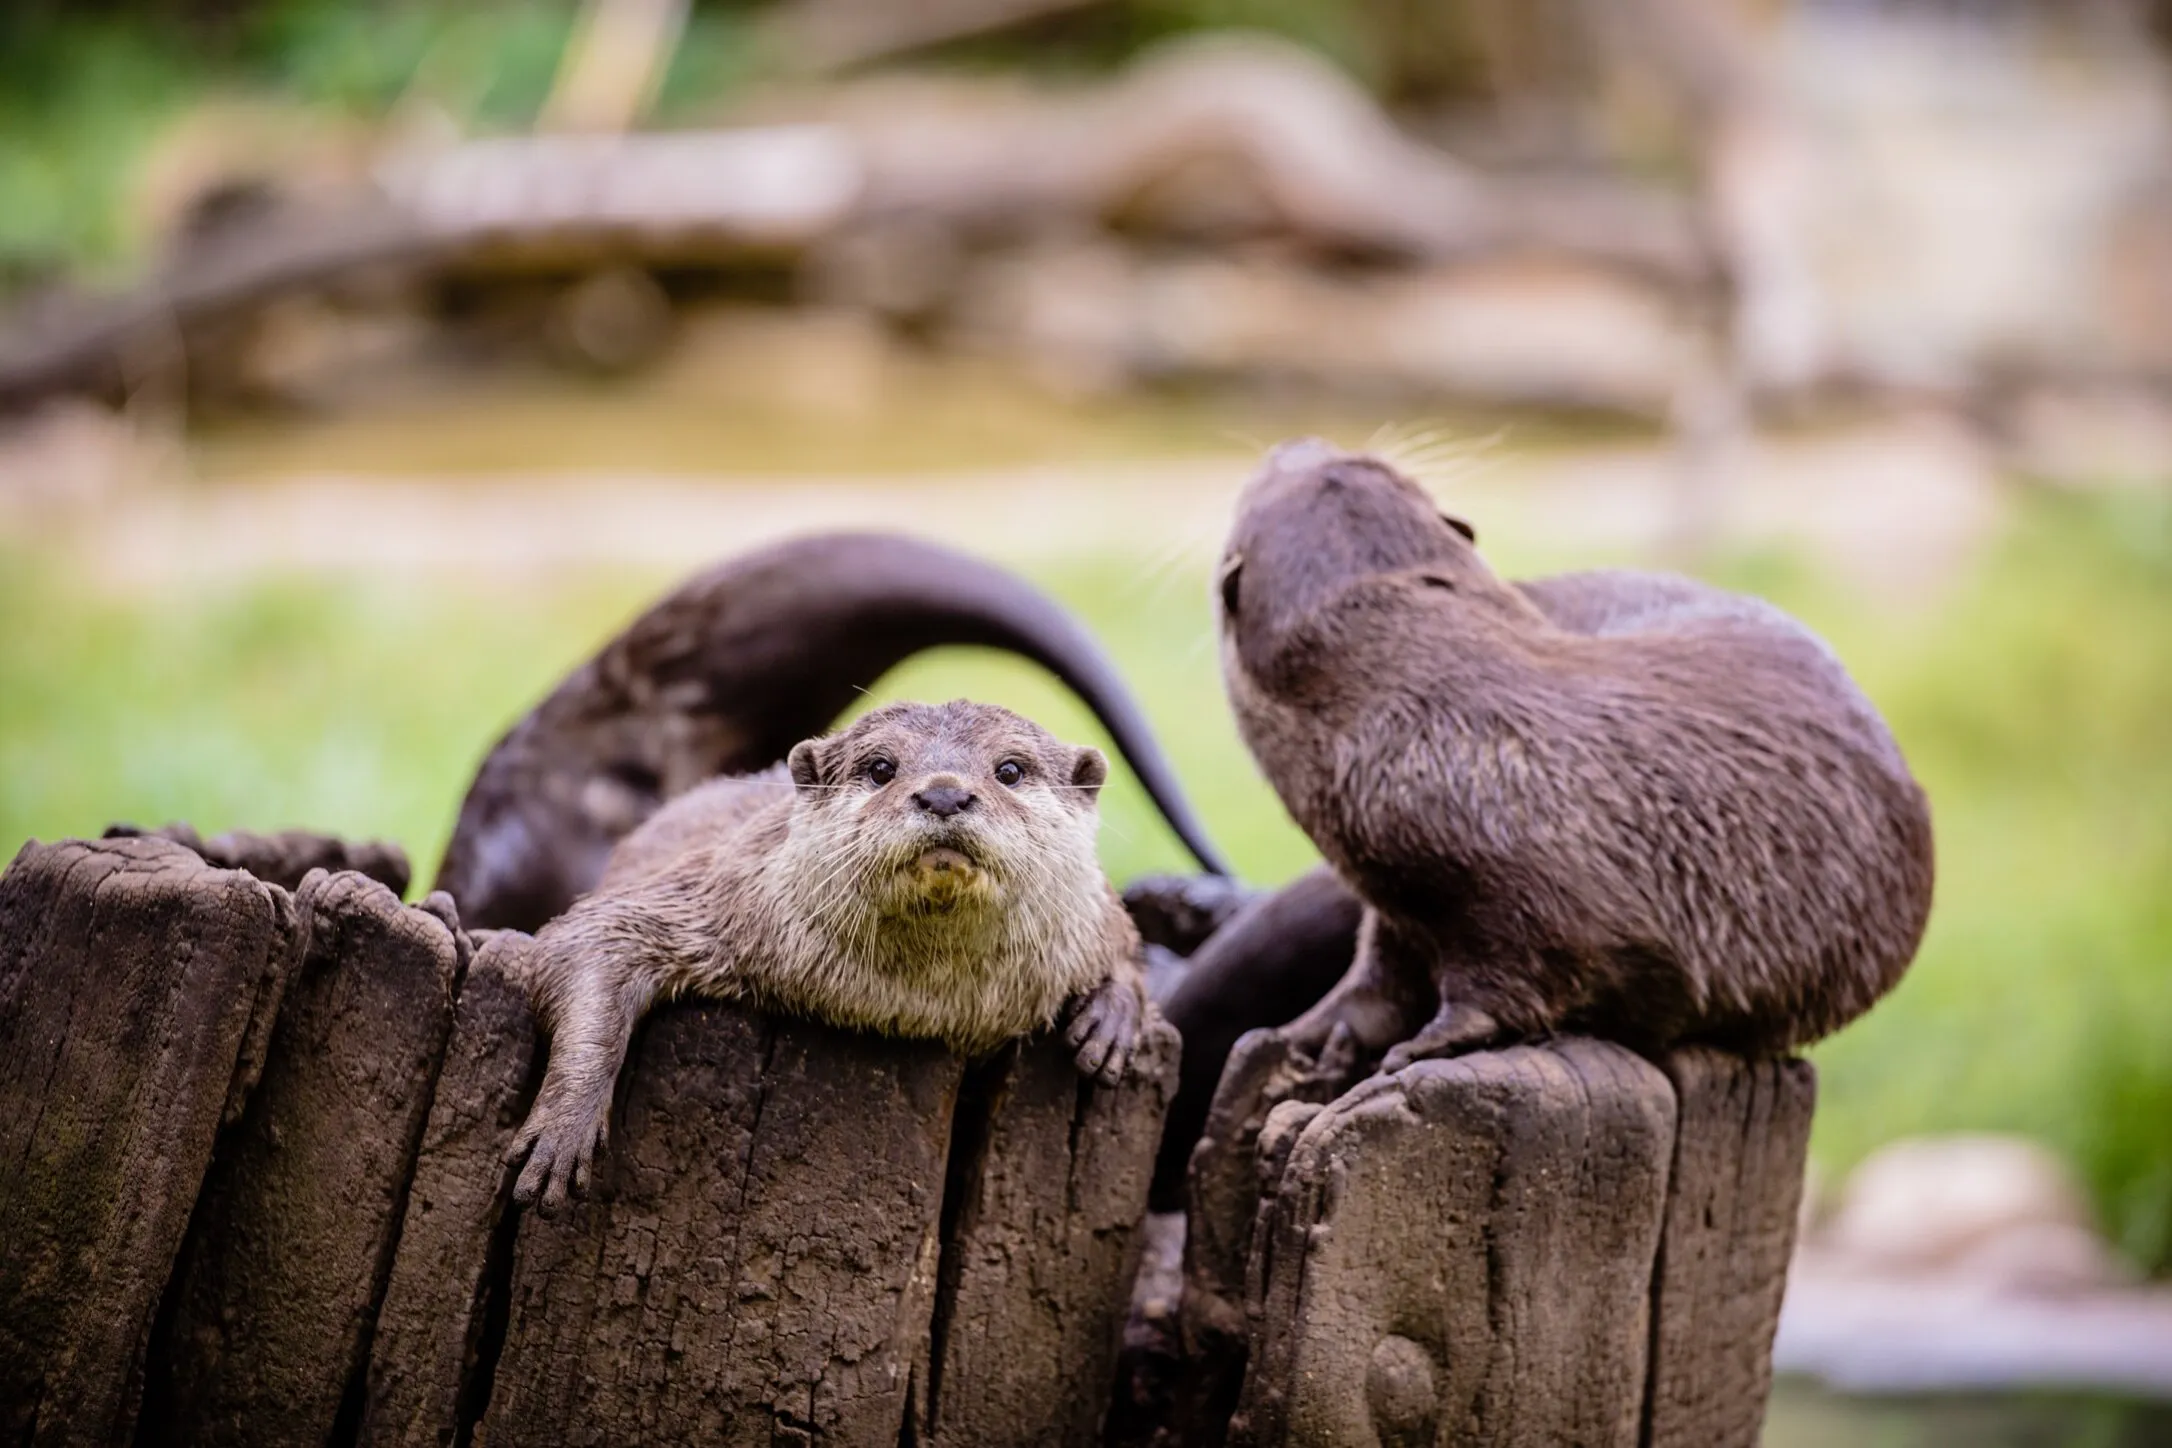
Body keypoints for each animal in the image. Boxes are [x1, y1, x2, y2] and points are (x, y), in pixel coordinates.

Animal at [506, 698, 1148, 1213]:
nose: (944, 792)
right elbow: (589, 934)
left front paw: (1113, 1019)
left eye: (1009, 770)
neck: (926, 1002)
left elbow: (1127, 941)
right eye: (882, 767)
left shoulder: (1093, 918)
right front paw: (564, 1127)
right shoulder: (715, 895)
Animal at [1213, 438, 1934, 1074]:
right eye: (1361, 464)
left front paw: (1429, 1045)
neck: (1435, 729)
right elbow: (1379, 979)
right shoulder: (1394, 894)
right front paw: (1310, 1031)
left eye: (1268, 480)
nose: (1292, 443)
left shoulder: (1548, 907)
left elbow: (1516, 980)